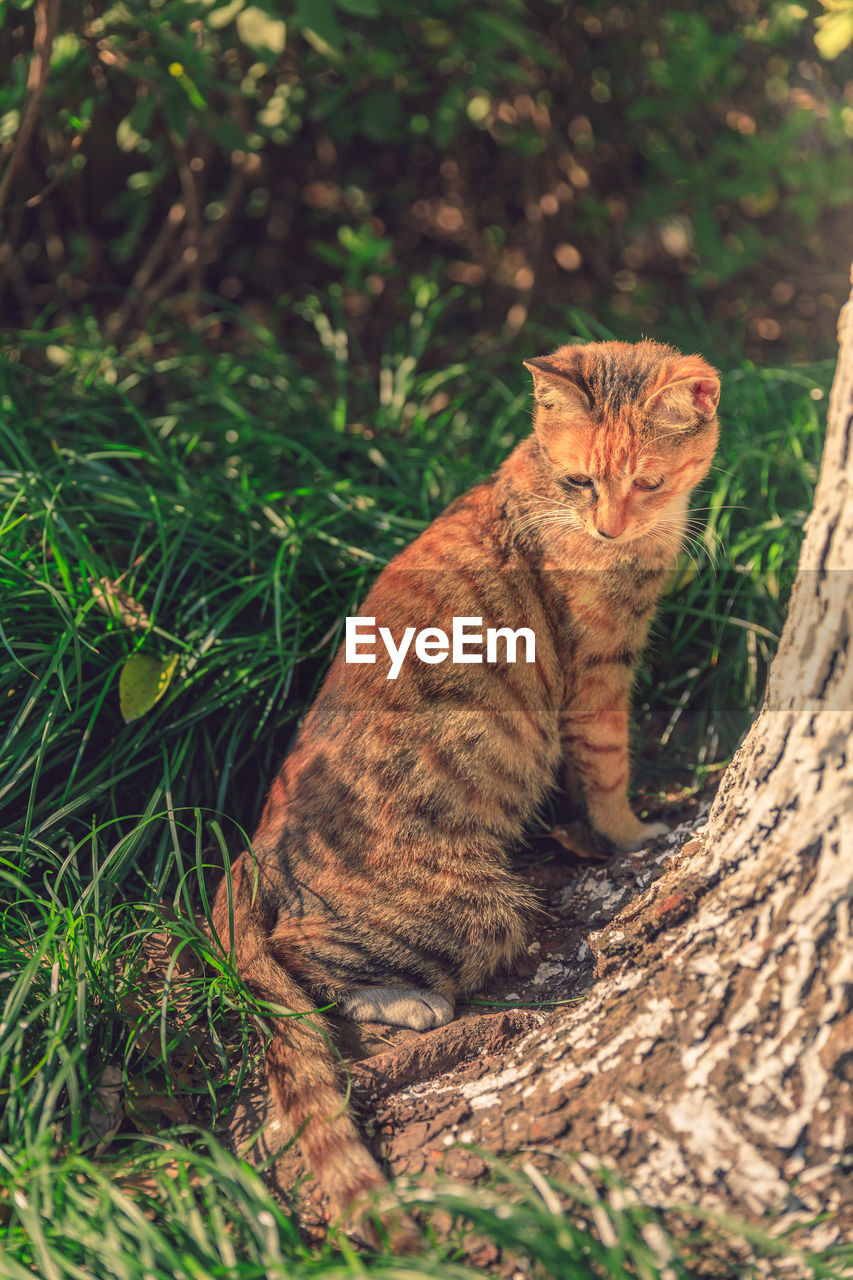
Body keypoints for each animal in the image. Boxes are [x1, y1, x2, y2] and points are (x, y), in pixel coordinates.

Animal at [211, 340, 717, 1239]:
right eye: (583, 482)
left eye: (646, 481)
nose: (607, 526)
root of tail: (257, 852)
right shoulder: (596, 676)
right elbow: (609, 769)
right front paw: (632, 835)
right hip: (480, 911)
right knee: (300, 963)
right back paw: (412, 1005)